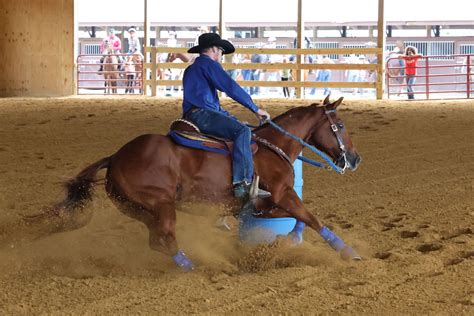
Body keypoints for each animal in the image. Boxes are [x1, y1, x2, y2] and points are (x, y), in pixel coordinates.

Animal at [28, 96, 360, 272]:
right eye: (341, 125)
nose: (355, 159)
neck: (272, 147)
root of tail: (116, 157)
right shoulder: (283, 195)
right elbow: (312, 218)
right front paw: (347, 251)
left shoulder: (261, 206)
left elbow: (301, 220)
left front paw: (287, 242)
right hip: (162, 204)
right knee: (165, 238)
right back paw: (197, 267)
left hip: (141, 210)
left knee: (157, 240)